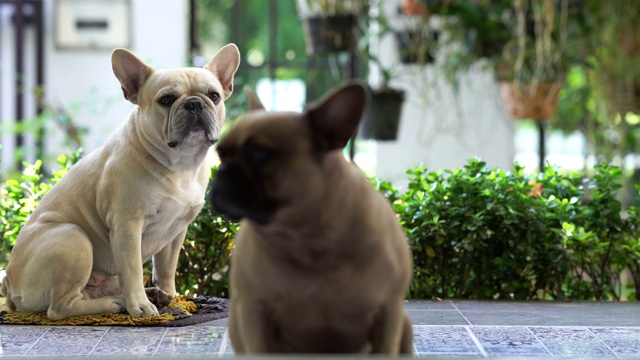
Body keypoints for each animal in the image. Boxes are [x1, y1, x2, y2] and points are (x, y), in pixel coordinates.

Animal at [208, 82, 412, 354]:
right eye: (220, 154)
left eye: (259, 154)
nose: (222, 170)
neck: (306, 237)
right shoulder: (254, 314)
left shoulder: (388, 314)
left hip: (405, 325)